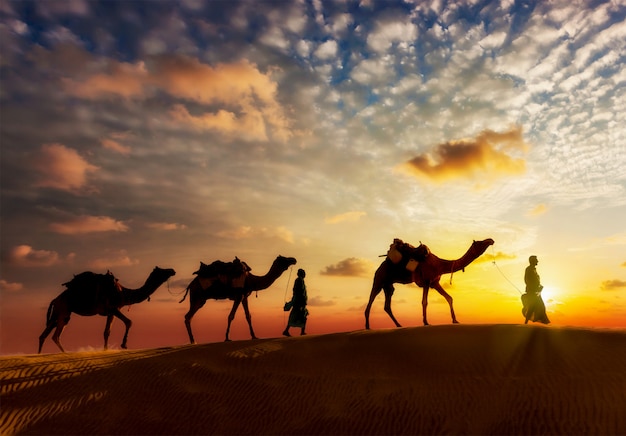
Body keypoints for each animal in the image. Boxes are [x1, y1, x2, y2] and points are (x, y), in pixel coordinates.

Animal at [38, 266, 176, 354]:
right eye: (162, 271)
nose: (172, 270)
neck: (124, 293)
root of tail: (55, 300)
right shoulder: (113, 308)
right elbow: (129, 322)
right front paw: (124, 344)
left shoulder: (111, 313)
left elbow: (106, 332)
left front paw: (105, 350)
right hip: (63, 311)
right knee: (55, 336)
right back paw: (65, 353)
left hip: (59, 313)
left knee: (44, 335)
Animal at [360, 240, 492, 328]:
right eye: (480, 242)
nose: (491, 240)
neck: (439, 265)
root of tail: (380, 266)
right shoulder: (427, 281)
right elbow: (425, 302)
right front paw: (426, 322)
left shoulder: (435, 283)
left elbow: (449, 298)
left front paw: (455, 320)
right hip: (379, 280)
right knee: (371, 299)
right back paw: (367, 326)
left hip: (388, 285)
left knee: (387, 305)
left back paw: (399, 325)